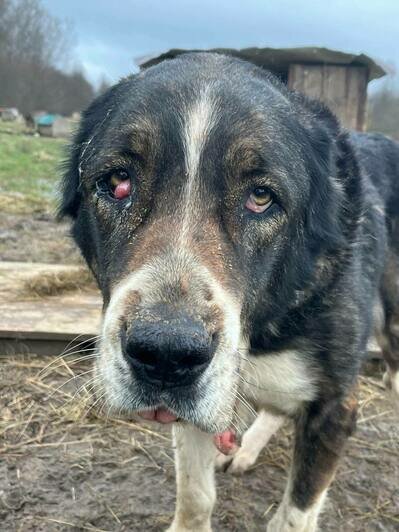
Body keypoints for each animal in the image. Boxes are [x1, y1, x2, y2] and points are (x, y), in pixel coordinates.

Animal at [59, 54, 399, 532]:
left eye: (261, 197)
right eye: (118, 181)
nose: (166, 355)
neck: (263, 329)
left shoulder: (335, 411)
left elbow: (296, 513)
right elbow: (195, 493)